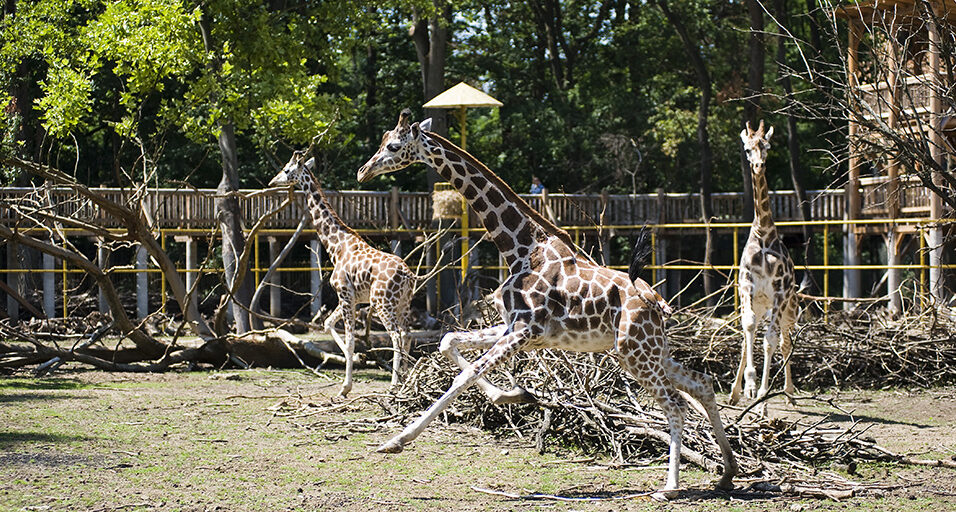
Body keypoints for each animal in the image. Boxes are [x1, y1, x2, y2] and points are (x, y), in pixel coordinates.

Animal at [270, 150, 416, 398]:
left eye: (287, 170)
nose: (272, 181)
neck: (336, 246)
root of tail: (407, 275)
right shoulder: (352, 298)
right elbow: (329, 324)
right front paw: (349, 376)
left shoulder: (345, 294)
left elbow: (349, 341)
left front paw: (345, 388)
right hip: (403, 303)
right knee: (407, 334)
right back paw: (405, 381)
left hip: (382, 303)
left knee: (397, 335)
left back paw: (394, 384)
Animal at [354, 110, 736, 498]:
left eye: (393, 146)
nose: (362, 171)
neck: (521, 249)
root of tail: (657, 302)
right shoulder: (516, 328)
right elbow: (449, 342)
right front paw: (515, 395)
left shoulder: (525, 330)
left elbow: (465, 376)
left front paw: (397, 441)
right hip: (649, 351)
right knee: (702, 383)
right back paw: (727, 473)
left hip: (635, 353)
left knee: (675, 404)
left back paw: (671, 486)